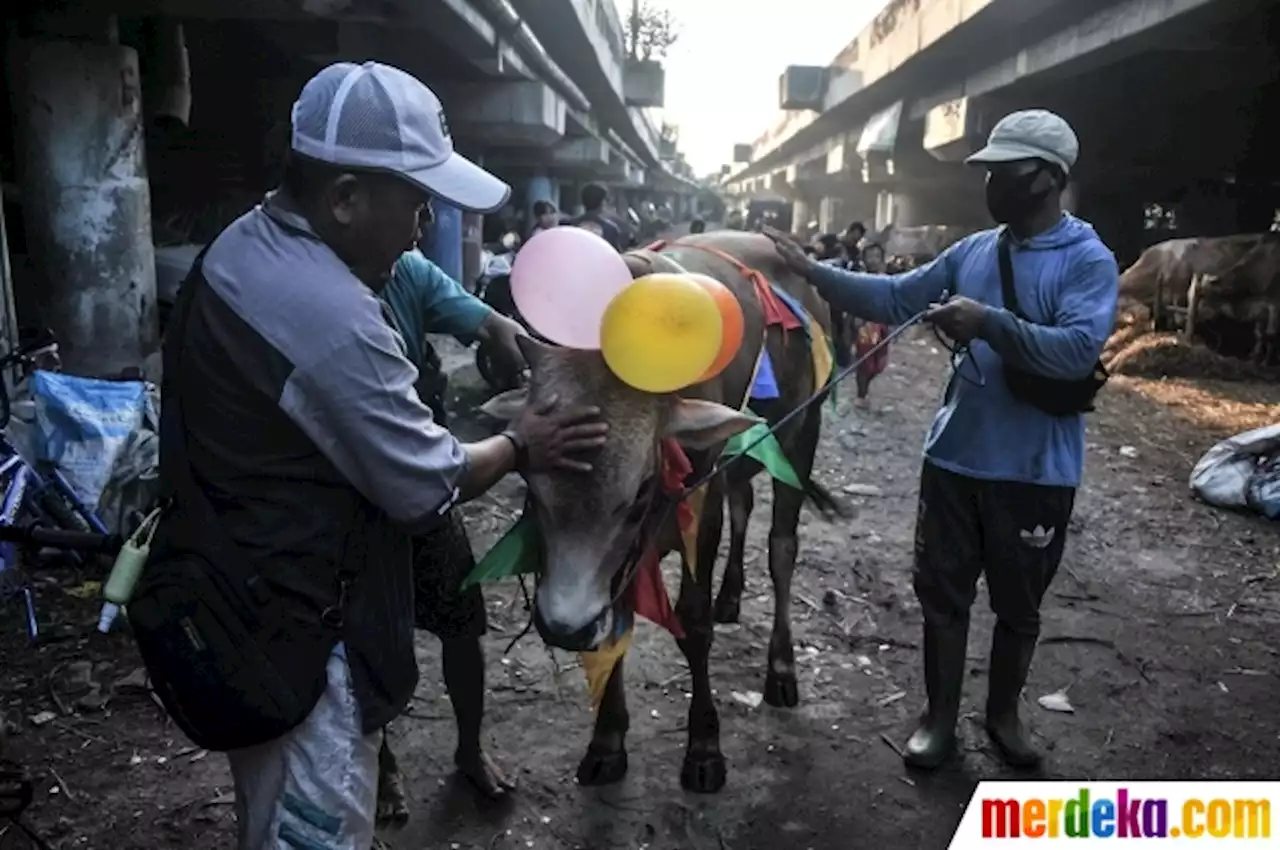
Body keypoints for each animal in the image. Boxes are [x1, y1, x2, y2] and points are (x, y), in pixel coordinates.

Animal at [481, 229, 839, 793]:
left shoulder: (699, 504)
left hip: (803, 431)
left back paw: (781, 667)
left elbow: (693, 623)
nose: (563, 626)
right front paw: (607, 739)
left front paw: (705, 746)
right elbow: (617, 617)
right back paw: (731, 595)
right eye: (530, 486)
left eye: (642, 490)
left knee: (782, 547)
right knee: (744, 504)